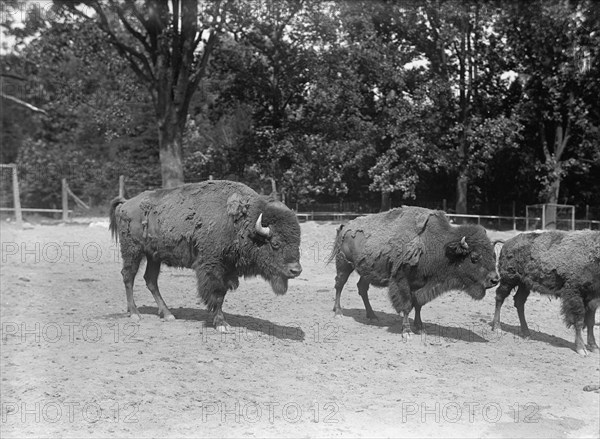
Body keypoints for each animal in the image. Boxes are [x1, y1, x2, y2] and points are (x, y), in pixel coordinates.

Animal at [108, 180, 302, 332]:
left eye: (297, 242)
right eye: (275, 243)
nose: (296, 270)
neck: (241, 224)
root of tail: (125, 204)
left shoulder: (227, 270)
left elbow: (222, 295)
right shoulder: (213, 268)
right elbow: (216, 294)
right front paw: (222, 324)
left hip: (153, 256)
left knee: (150, 280)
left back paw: (168, 314)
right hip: (133, 251)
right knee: (128, 277)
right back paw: (135, 313)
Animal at [330, 206, 500, 336]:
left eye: (494, 255)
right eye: (474, 257)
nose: (495, 280)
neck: (436, 246)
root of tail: (345, 227)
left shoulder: (421, 284)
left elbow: (418, 304)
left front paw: (421, 327)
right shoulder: (402, 281)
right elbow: (407, 305)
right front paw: (407, 331)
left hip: (366, 270)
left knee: (362, 288)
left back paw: (372, 316)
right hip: (344, 264)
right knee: (339, 285)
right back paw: (338, 312)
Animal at [492, 230, 600, 358]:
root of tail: (507, 242)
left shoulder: (593, 298)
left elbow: (590, 322)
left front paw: (594, 347)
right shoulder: (575, 294)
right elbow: (579, 320)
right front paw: (581, 349)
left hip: (524, 284)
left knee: (519, 302)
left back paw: (526, 333)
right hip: (509, 280)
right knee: (500, 297)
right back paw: (497, 328)